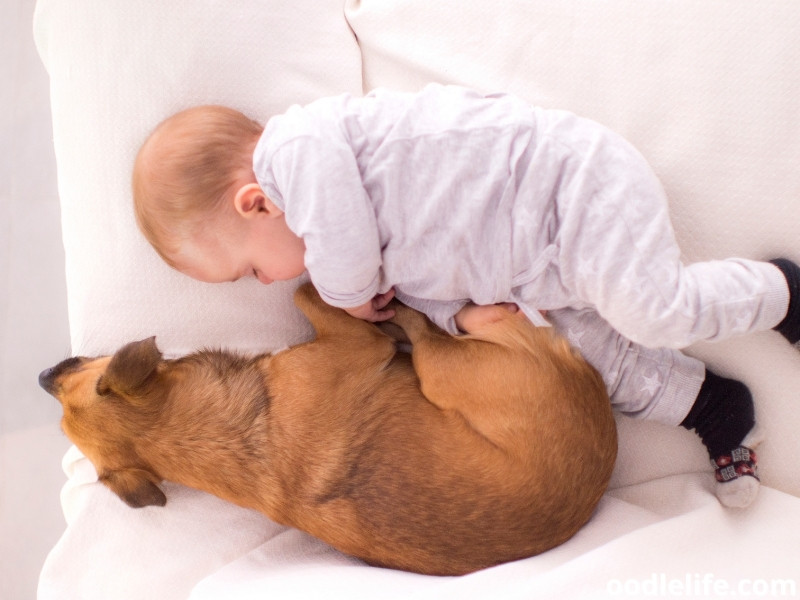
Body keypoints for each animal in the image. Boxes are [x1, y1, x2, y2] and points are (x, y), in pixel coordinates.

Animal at [39, 284, 620, 576]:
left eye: (67, 382)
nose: (43, 374)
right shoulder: (360, 344)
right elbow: (303, 291)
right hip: (444, 367)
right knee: (433, 334)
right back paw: (421, 311)